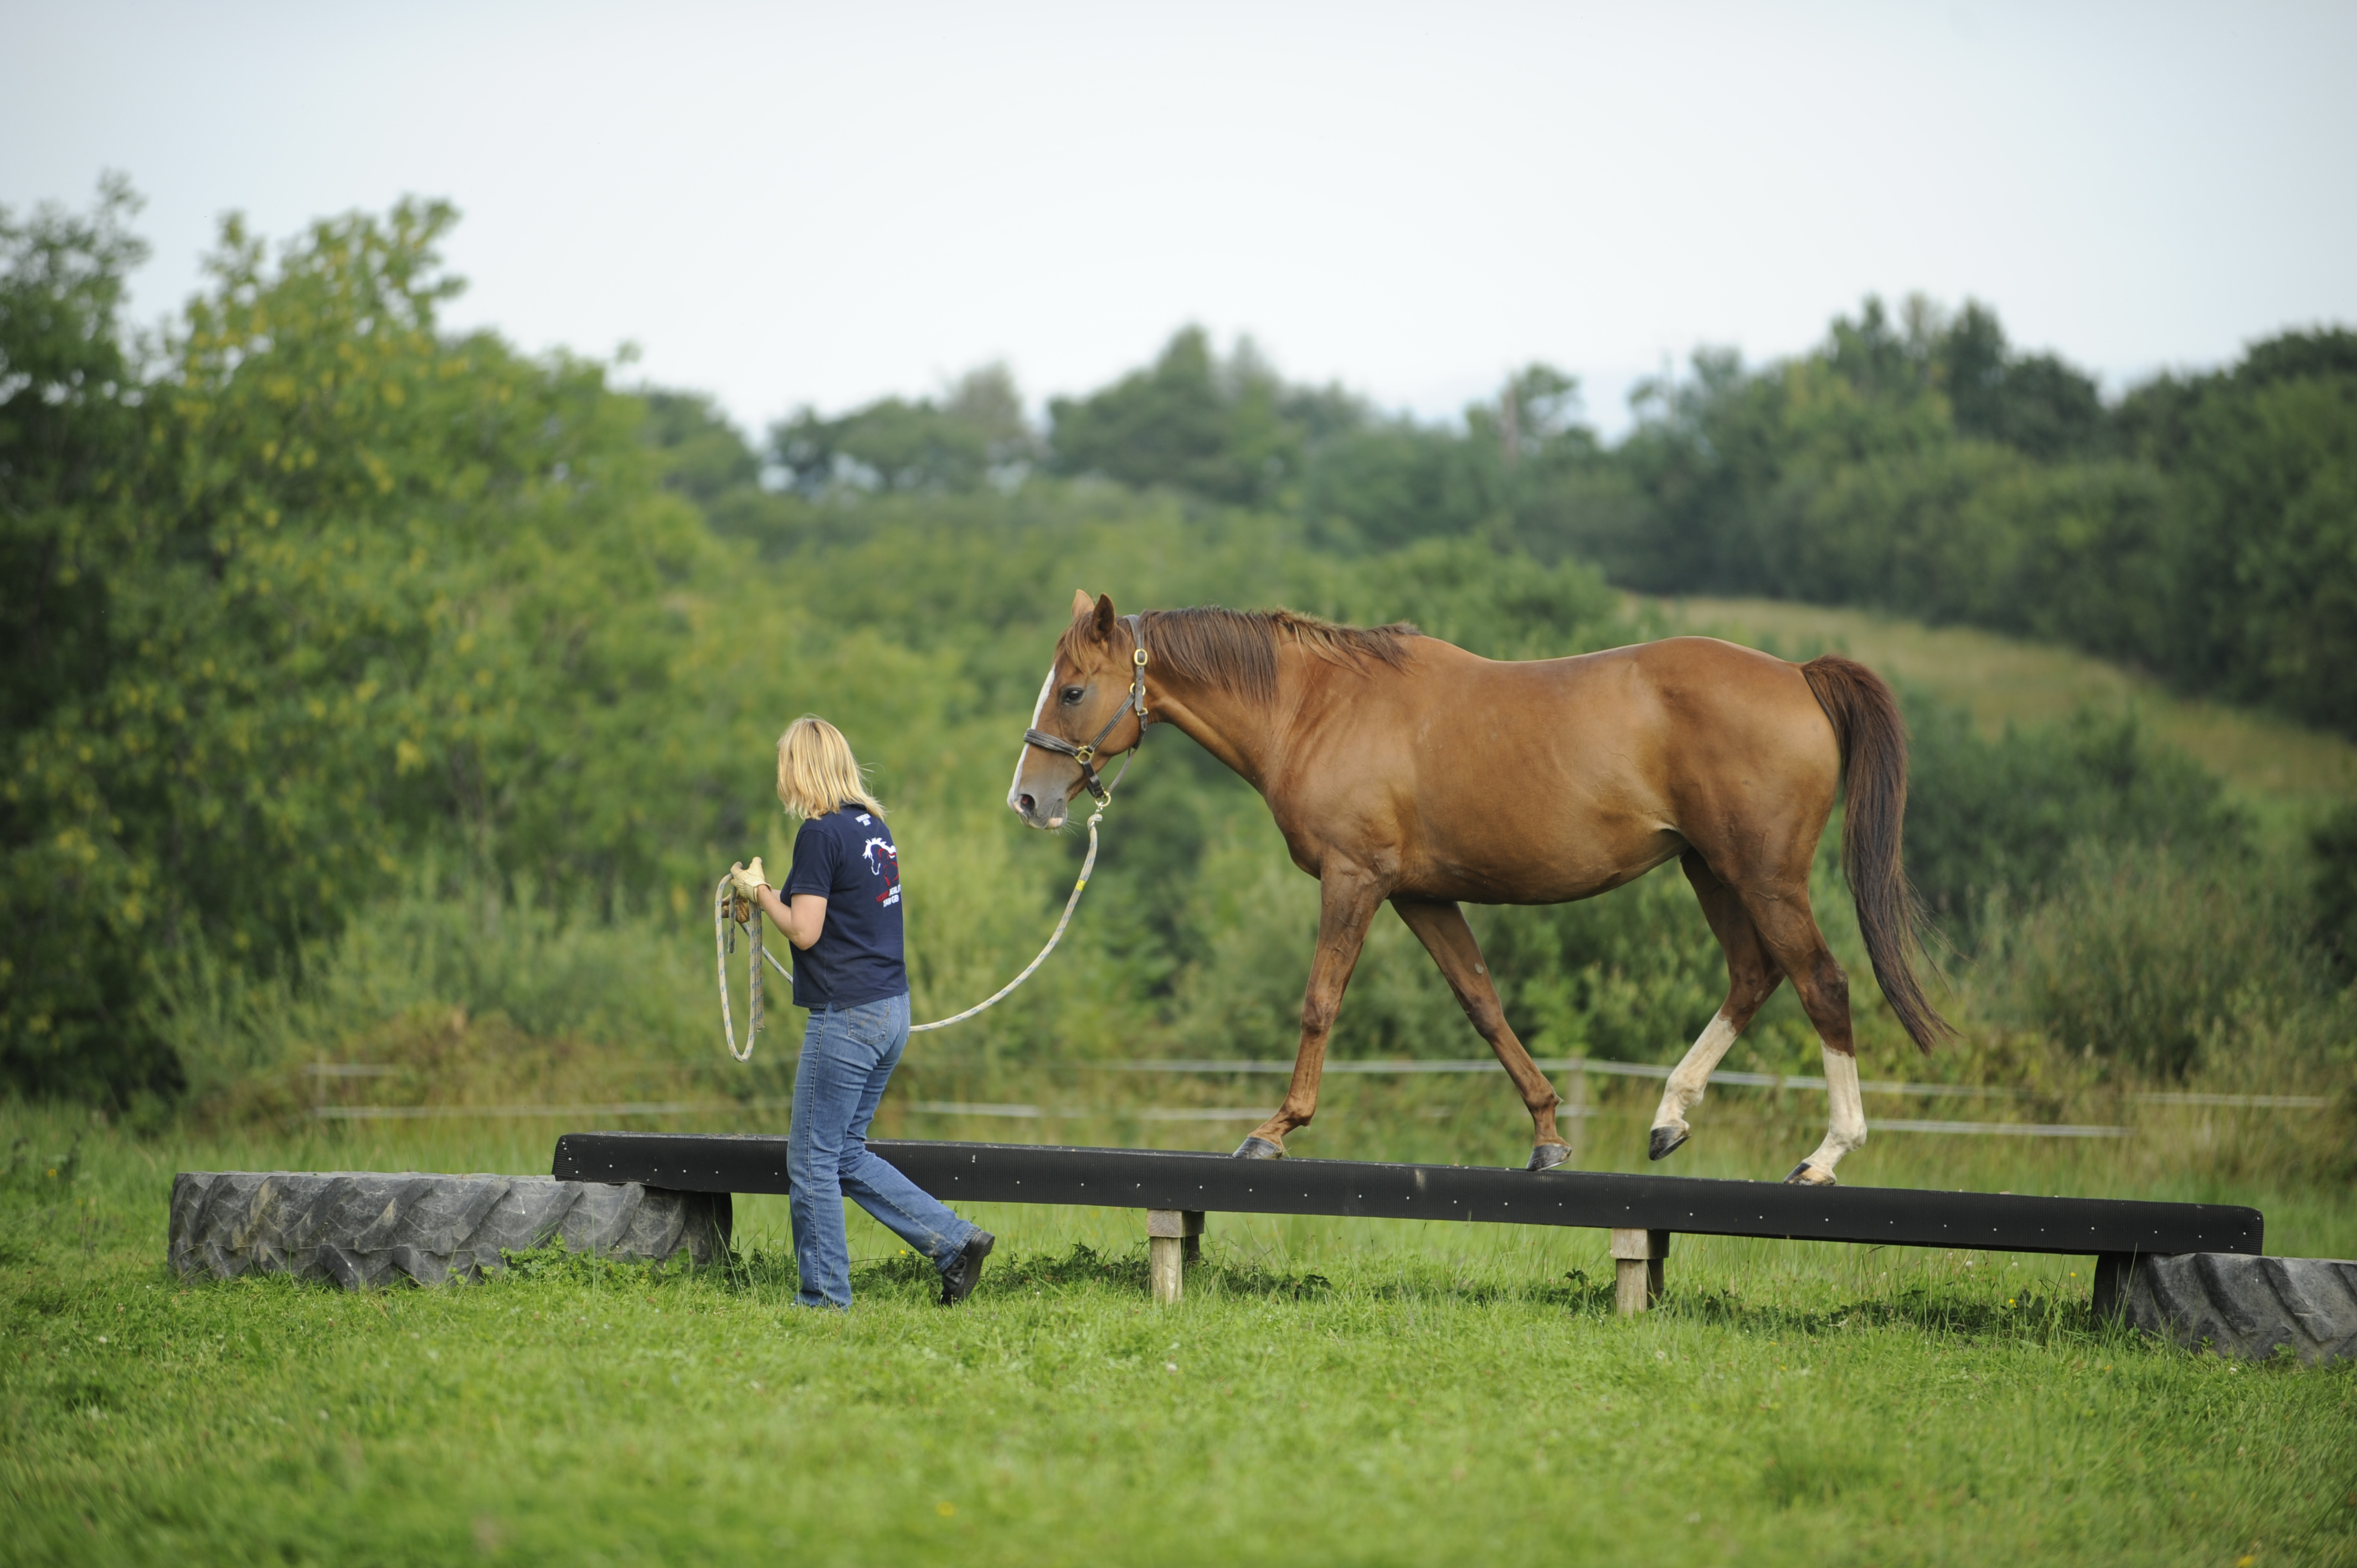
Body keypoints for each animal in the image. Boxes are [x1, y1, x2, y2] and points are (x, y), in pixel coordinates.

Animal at [1013, 594, 1951, 1179]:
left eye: (1073, 689)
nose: (1028, 799)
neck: (1317, 708)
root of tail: (1799, 674)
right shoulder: (1420, 896)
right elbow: (1484, 1004)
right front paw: (1547, 1134)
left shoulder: (1354, 881)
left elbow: (1321, 1002)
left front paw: (1276, 1129)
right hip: (1709, 870)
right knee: (1755, 977)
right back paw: (1671, 1115)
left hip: (1762, 876)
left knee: (1821, 983)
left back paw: (1826, 1155)